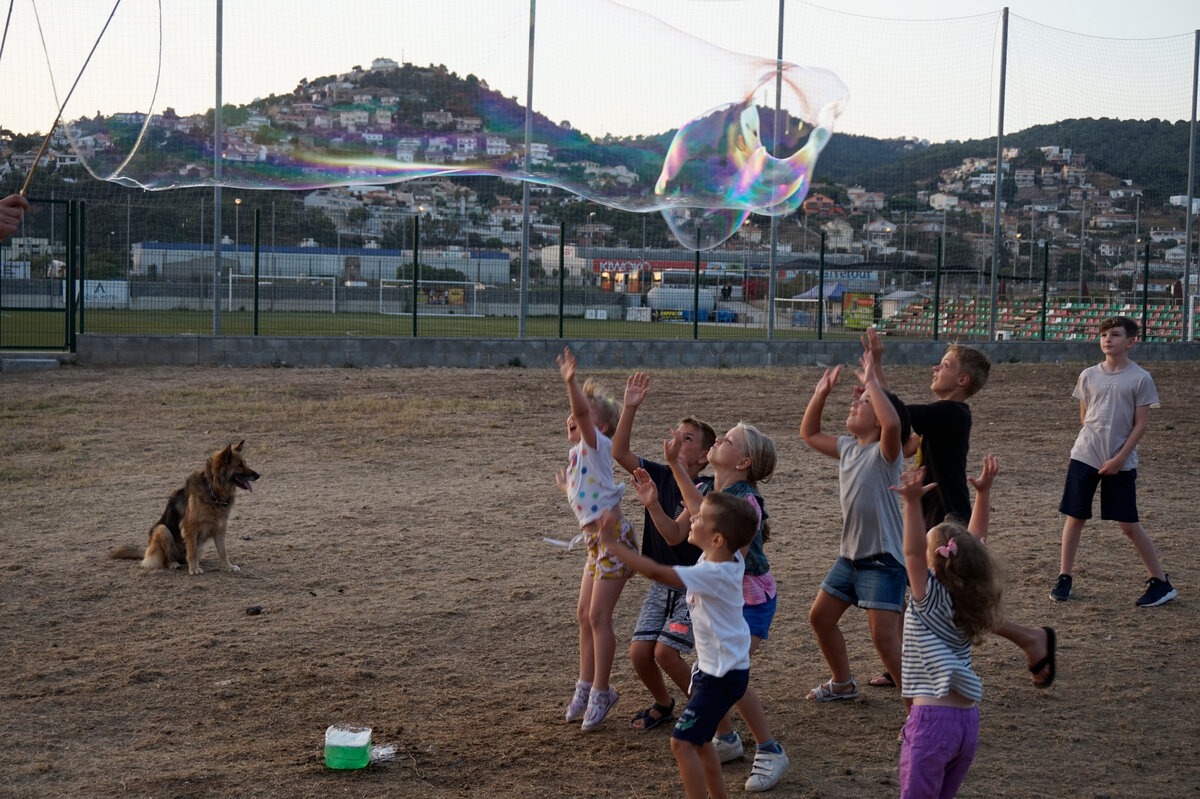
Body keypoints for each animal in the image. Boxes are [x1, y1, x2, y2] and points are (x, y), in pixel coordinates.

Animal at [111, 436, 260, 573]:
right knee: (166, 559)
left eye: (245, 463)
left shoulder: (220, 527)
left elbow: (223, 551)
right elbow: (192, 551)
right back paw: (173, 564)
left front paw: (228, 566)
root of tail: (146, 550)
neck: (213, 492)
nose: (258, 475)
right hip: (162, 530)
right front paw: (194, 569)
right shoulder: (190, 528)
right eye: (239, 465)